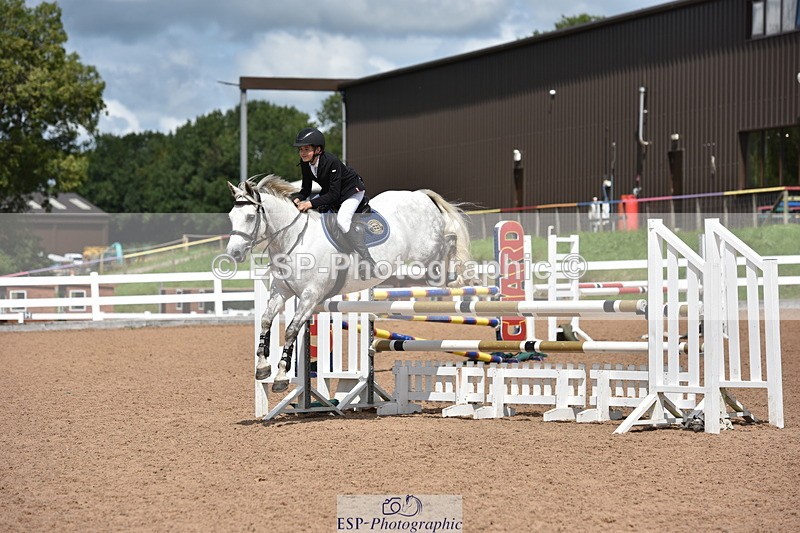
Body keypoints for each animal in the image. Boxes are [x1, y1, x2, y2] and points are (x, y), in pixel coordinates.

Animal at [226, 174, 472, 392]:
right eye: (231, 216)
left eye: (250, 217)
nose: (234, 253)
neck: (294, 239)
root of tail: (420, 195)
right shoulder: (282, 291)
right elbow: (266, 320)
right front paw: (262, 367)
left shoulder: (310, 296)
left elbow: (290, 331)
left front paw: (280, 378)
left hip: (426, 251)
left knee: (449, 241)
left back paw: (456, 275)